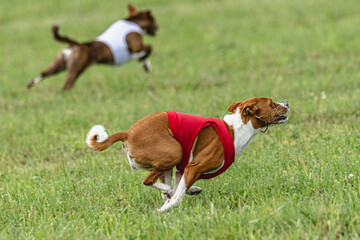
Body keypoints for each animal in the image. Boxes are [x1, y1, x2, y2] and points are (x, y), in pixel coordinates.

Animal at [26, 4, 158, 91]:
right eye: (154, 21)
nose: (158, 27)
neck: (133, 22)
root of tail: (77, 44)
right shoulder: (136, 46)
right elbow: (149, 48)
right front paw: (145, 63)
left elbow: (145, 55)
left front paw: (145, 65)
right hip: (75, 70)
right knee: (66, 86)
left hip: (59, 65)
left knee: (42, 74)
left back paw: (30, 84)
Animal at [86, 97, 290, 212]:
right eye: (272, 104)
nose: (287, 103)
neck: (235, 129)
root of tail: (128, 134)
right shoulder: (194, 167)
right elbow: (176, 198)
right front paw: (164, 209)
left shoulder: (182, 170)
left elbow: (179, 186)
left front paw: (181, 193)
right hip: (175, 151)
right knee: (149, 181)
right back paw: (170, 192)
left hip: (170, 161)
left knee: (163, 182)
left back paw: (178, 190)